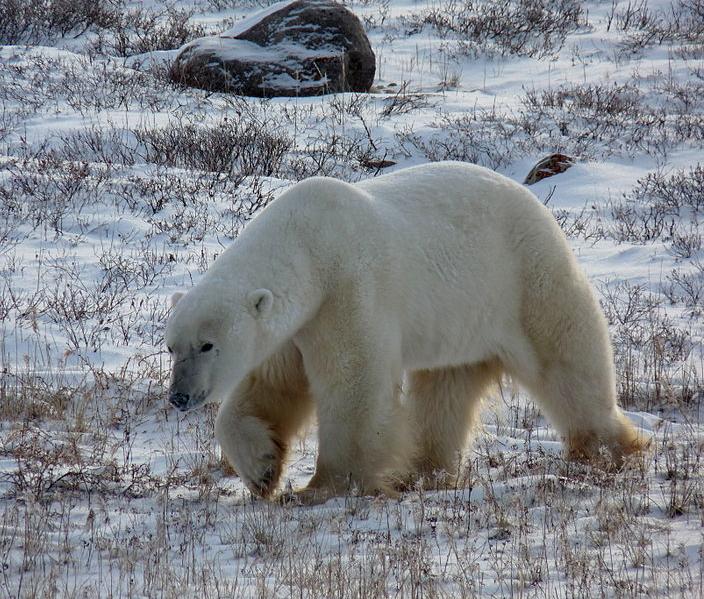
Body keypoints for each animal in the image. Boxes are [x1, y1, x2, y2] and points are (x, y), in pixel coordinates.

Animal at [165, 161, 646, 503]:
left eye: (207, 344)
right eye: (171, 347)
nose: (179, 397)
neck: (308, 245)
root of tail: (535, 202)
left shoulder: (348, 289)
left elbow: (354, 385)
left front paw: (324, 486)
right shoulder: (299, 322)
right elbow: (271, 385)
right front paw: (263, 469)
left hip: (523, 277)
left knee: (567, 359)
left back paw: (610, 447)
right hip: (461, 320)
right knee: (445, 391)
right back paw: (423, 470)